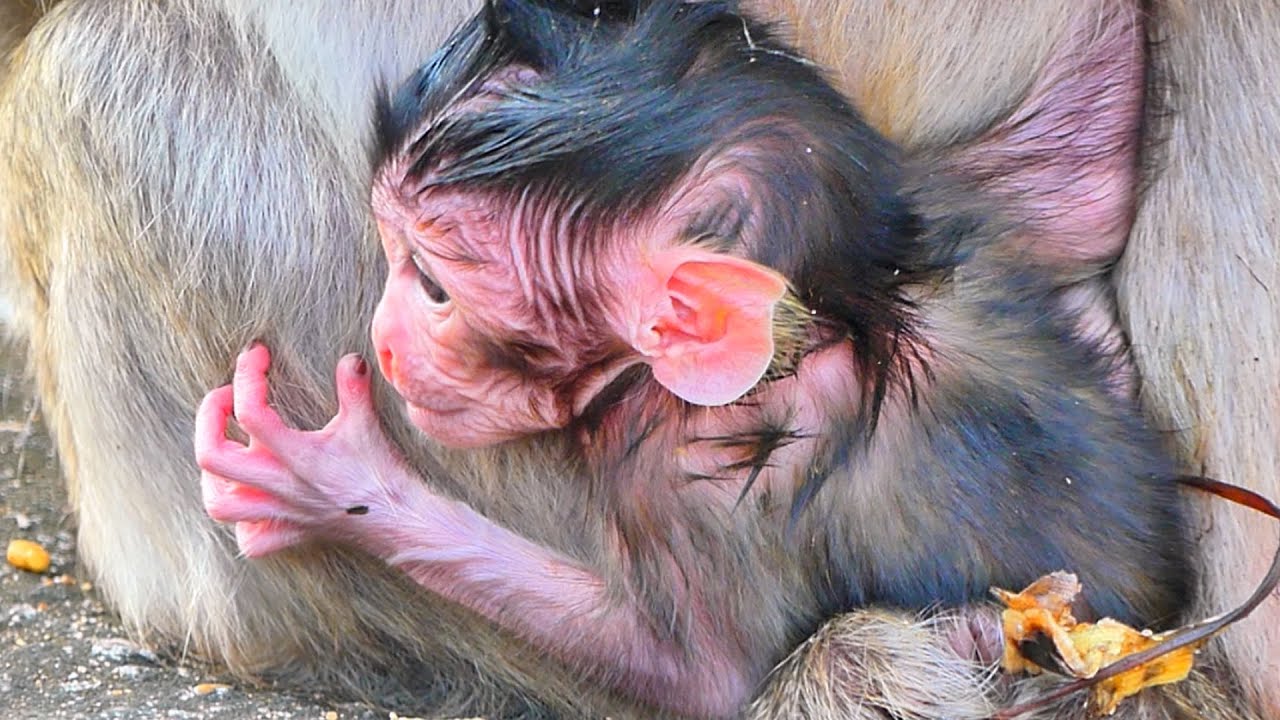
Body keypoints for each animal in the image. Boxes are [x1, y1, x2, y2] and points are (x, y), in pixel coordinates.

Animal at [0, 0, 1275, 718]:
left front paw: (339, 485)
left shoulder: (662, 462)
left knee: (90, 84)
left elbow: (691, 672)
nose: (387, 333)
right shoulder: (951, 215)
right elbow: (1072, 175)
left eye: (432, 282)